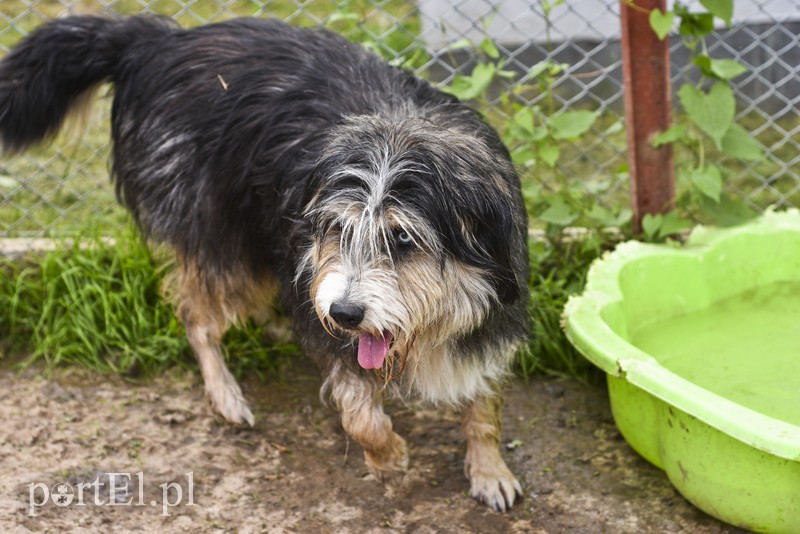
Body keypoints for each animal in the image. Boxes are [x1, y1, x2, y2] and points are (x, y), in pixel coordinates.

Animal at [0, 15, 532, 510]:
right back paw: (226, 395)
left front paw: (490, 470)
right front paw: (387, 456)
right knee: (196, 314)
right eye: (337, 229)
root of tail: (156, 39)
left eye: (402, 237)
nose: (344, 314)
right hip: (222, 233)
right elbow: (359, 412)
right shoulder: (326, 309)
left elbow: (484, 407)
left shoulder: (494, 310)